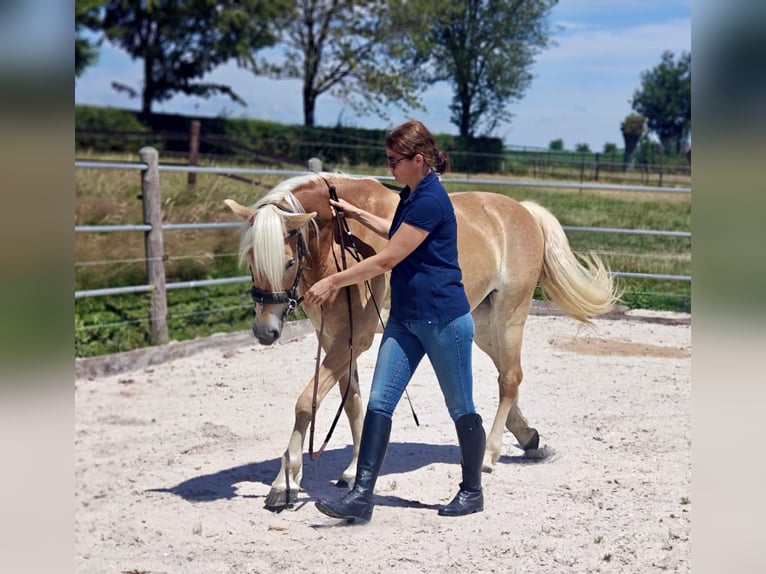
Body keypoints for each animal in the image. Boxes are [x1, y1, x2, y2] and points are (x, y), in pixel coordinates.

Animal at [224, 171, 618, 509]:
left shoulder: (355, 339)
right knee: (510, 376)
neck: (343, 240)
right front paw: (351, 471)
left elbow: (306, 403)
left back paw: (490, 455)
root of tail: (522, 211)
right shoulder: (338, 338)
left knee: (509, 379)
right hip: (483, 324)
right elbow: (353, 403)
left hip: (509, 317)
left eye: (288, 262)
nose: (265, 331)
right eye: (250, 259)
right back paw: (527, 437)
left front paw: (284, 483)